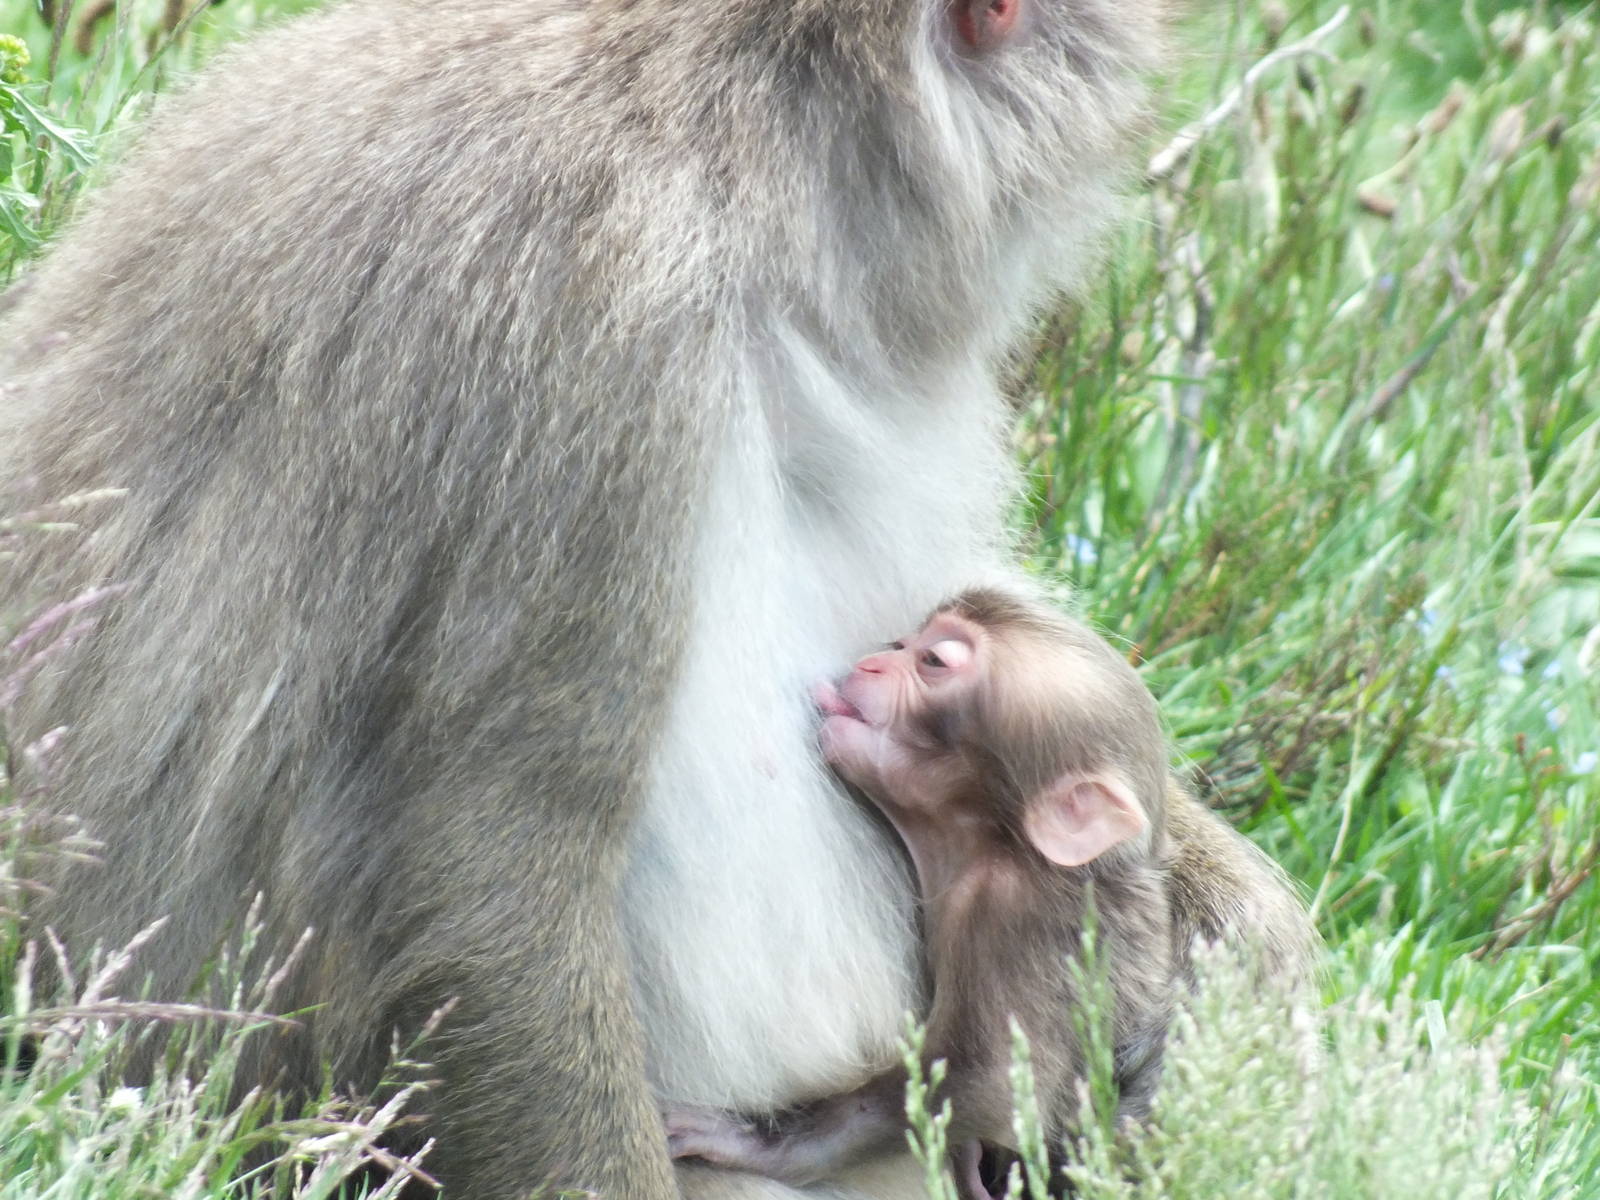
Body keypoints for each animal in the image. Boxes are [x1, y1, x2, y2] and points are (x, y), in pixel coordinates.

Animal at [664, 588, 1175, 1199]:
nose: (876, 659)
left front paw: (764, 1145)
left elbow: (987, 1085)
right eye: (907, 642)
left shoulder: (1017, 924)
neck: (1001, 847)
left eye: (933, 662)